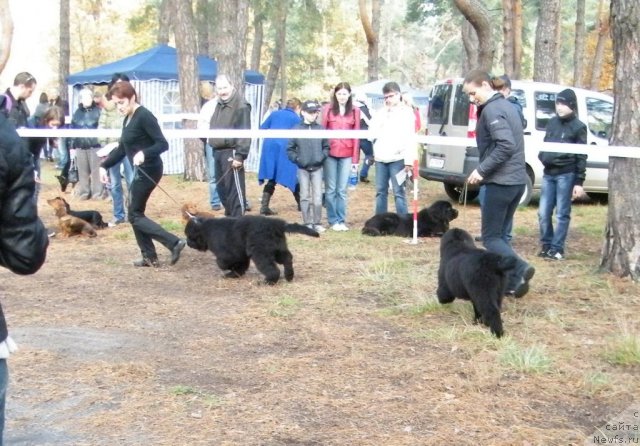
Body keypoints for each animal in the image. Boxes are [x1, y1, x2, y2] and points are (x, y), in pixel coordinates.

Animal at [184, 214, 318, 284]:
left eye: (189, 236)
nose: (187, 242)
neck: (204, 229)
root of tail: (276, 224)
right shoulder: (241, 254)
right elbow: (241, 266)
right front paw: (234, 274)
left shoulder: (227, 254)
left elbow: (221, 263)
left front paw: (230, 270)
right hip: (278, 248)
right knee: (287, 259)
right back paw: (289, 275)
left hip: (261, 253)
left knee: (272, 269)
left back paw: (269, 281)